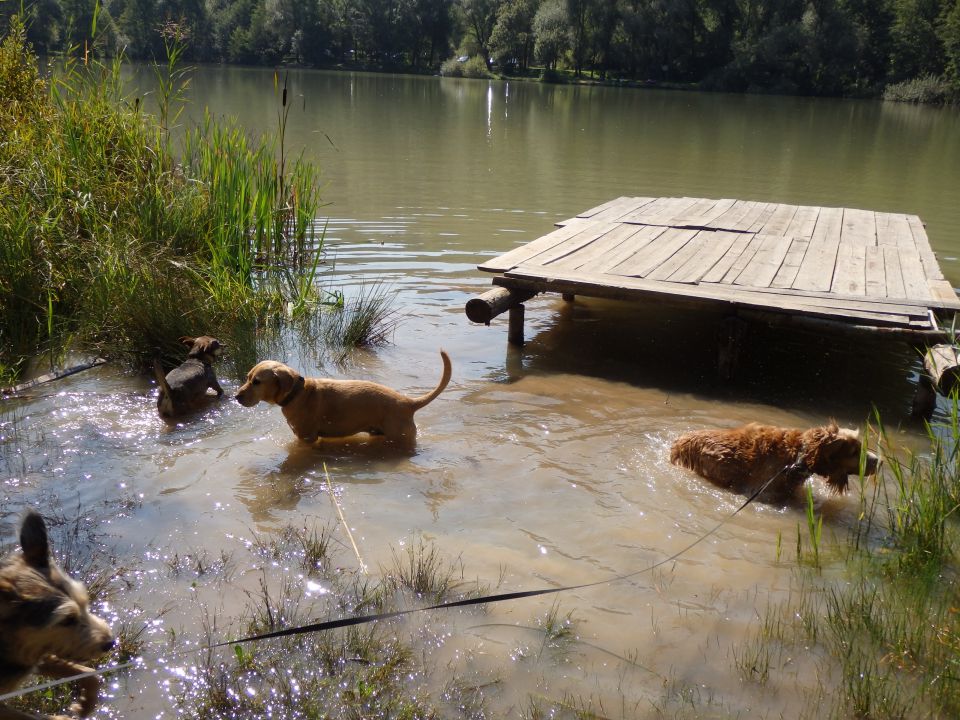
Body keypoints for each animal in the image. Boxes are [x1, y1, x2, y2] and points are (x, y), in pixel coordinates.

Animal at [0, 510, 115, 716]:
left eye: (85, 602)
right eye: (67, 619)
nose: (110, 643)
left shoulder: (36, 651)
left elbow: (89, 673)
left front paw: (85, 705)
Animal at [236, 350, 454, 444]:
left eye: (257, 382)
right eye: (247, 377)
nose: (236, 397)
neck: (299, 393)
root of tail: (408, 403)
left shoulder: (307, 437)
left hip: (398, 436)